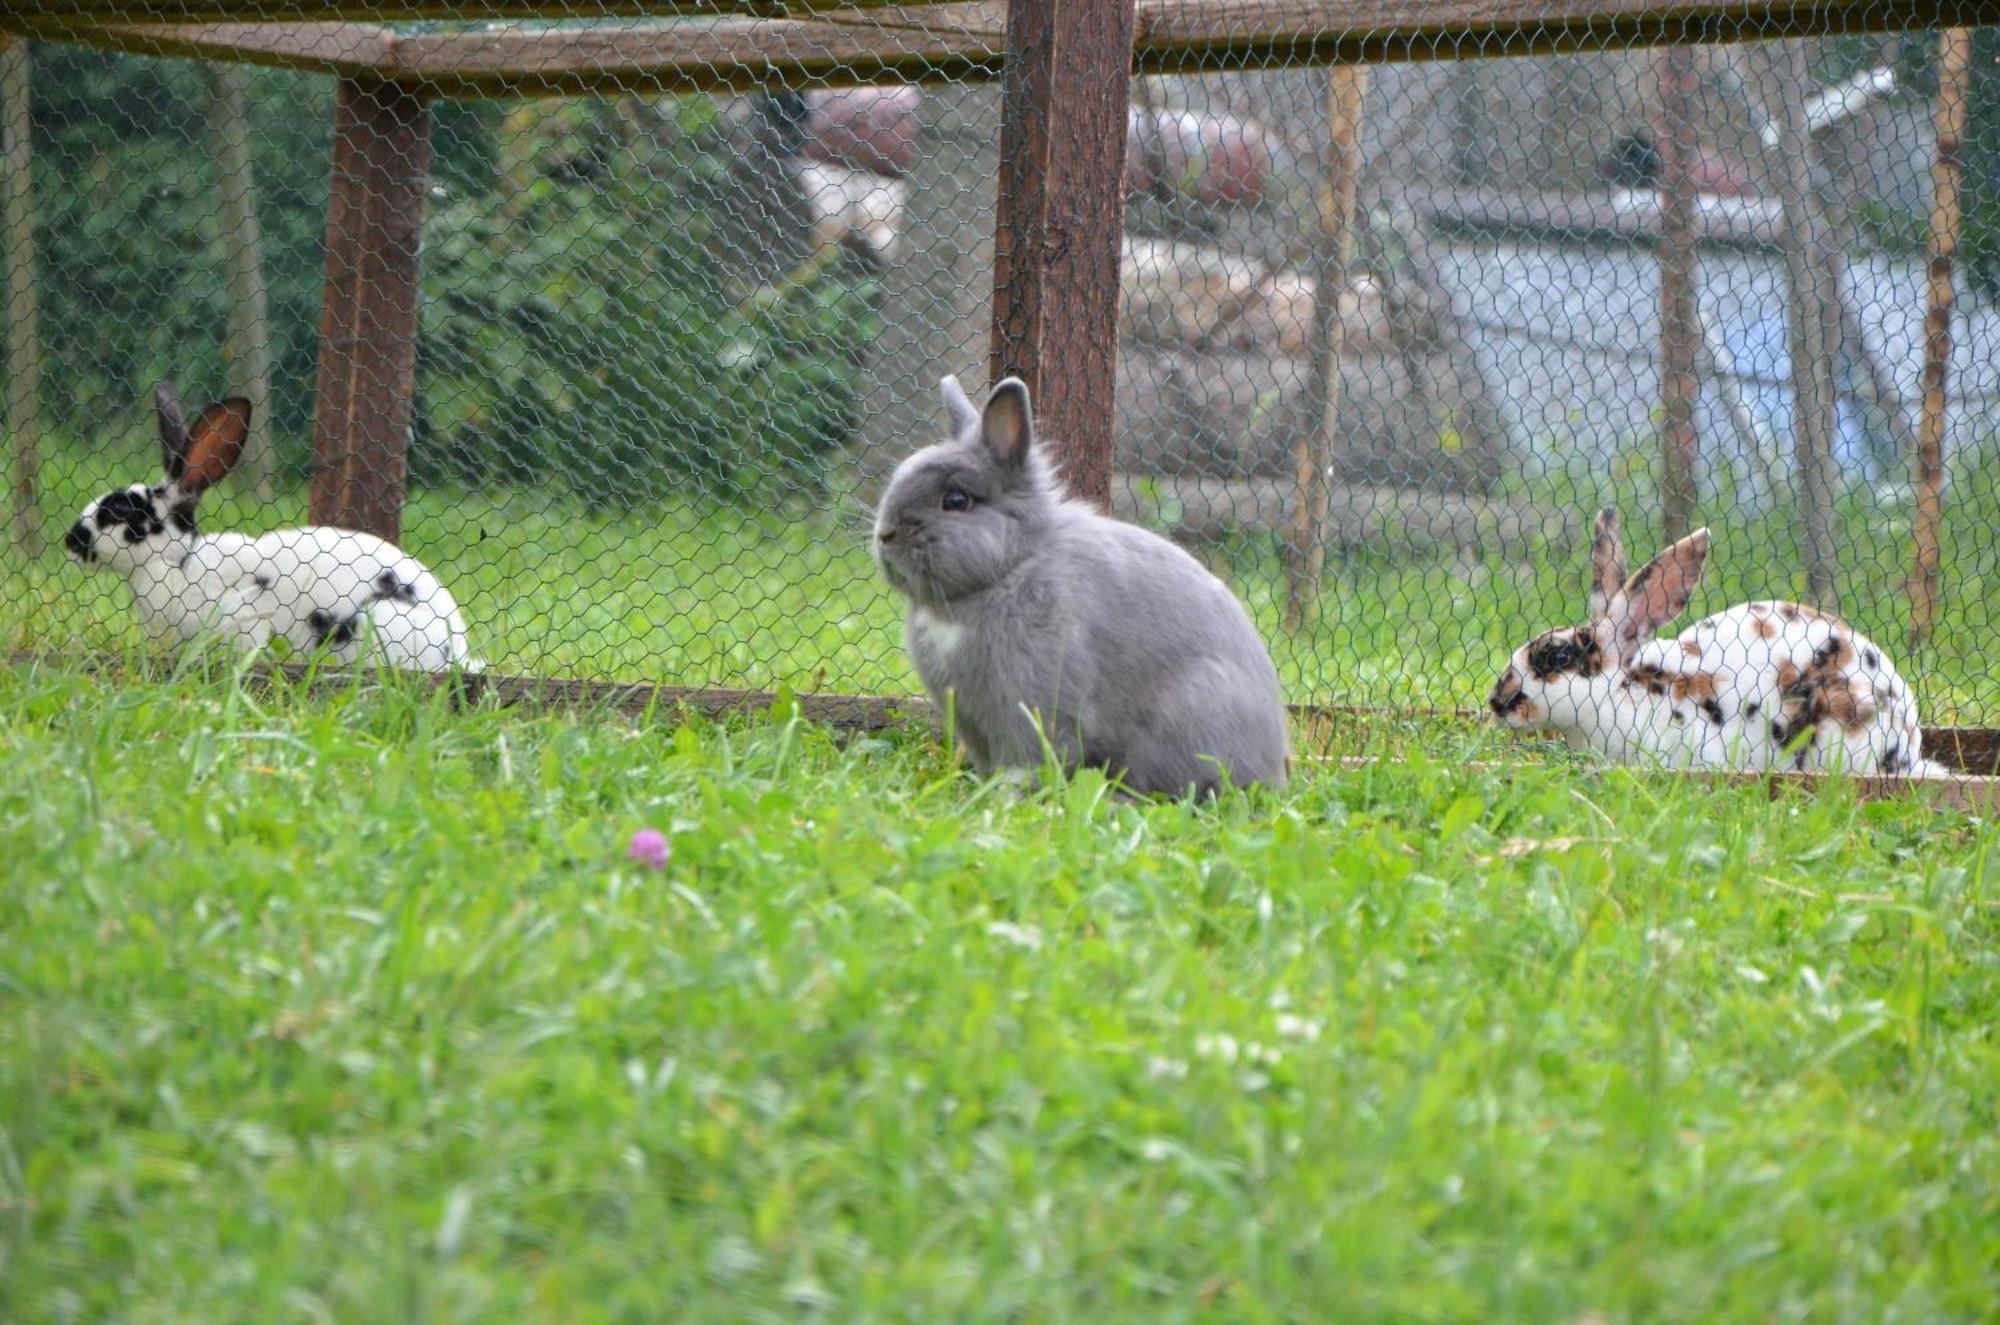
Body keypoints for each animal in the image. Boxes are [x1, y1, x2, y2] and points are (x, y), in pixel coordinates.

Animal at [872, 374, 1280, 800]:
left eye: (955, 500)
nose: (885, 535)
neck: (1010, 568)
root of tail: (1273, 766)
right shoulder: (971, 720)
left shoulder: (1033, 705)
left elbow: (1029, 760)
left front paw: (1006, 798)